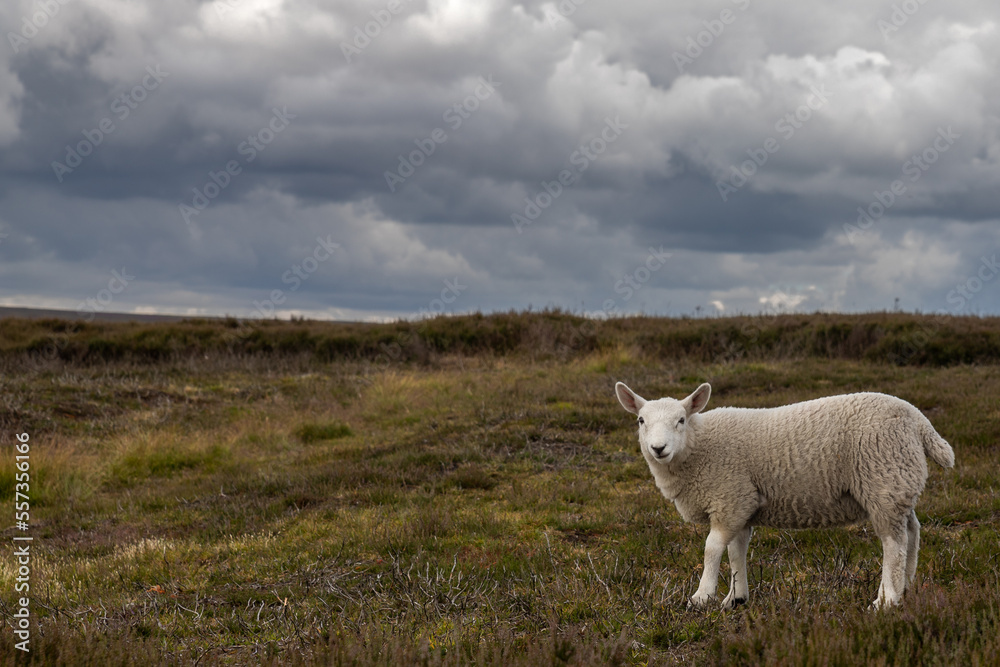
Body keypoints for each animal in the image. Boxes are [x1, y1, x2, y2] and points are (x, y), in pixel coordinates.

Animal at [614, 381, 954, 610]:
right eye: (641, 421)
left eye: (681, 420)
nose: (658, 448)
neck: (699, 447)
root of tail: (918, 420)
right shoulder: (744, 502)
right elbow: (736, 550)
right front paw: (736, 598)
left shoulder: (730, 497)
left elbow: (712, 548)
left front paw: (702, 596)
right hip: (897, 482)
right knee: (911, 533)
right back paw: (905, 587)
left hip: (882, 480)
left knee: (893, 544)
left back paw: (887, 600)